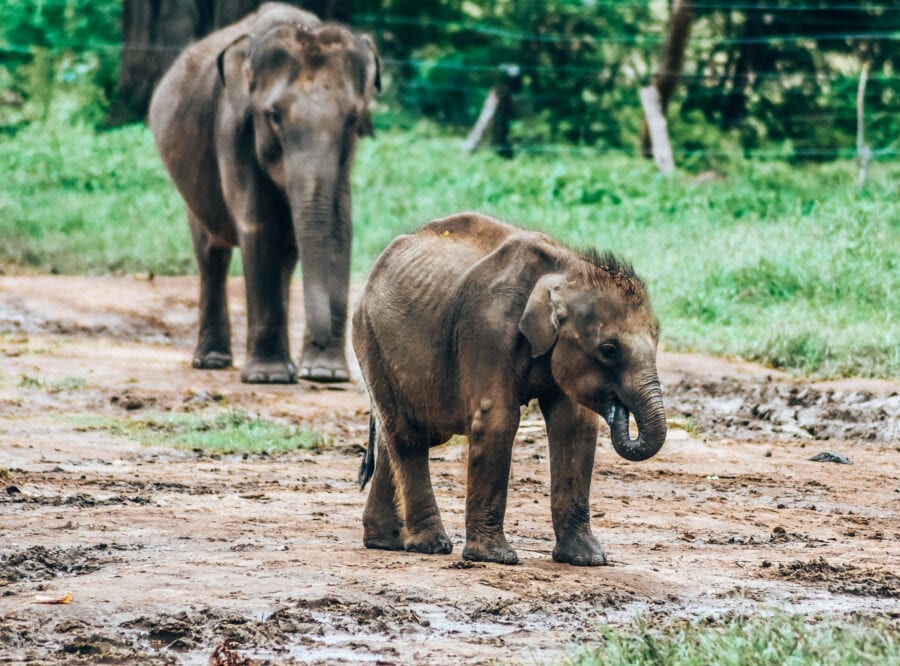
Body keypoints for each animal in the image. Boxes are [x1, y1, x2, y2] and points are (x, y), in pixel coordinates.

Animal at [149, 2, 378, 382]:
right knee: (210, 253)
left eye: (352, 120)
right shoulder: (232, 129)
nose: (318, 348)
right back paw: (214, 361)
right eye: (274, 116)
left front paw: (325, 374)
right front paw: (269, 376)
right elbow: (259, 225)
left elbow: (338, 229)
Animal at [356, 214, 664, 564]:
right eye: (609, 350)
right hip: (371, 338)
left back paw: (385, 542)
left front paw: (588, 560)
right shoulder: (487, 327)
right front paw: (495, 557)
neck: (568, 270)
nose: (618, 409)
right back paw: (431, 546)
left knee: (396, 435)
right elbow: (497, 420)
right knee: (408, 435)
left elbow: (574, 424)